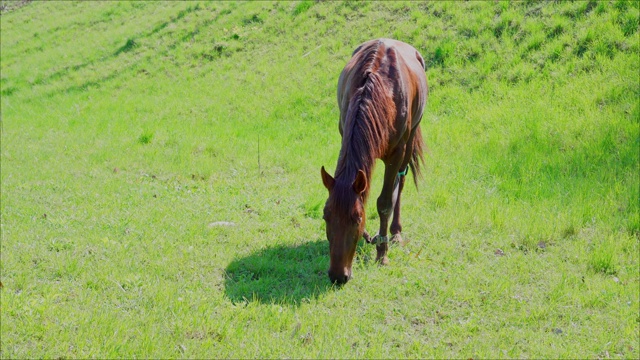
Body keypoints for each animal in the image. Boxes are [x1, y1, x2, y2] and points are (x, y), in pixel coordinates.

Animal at [320, 38, 430, 284]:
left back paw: (395, 232)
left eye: (357, 218)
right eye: (325, 216)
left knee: (401, 181)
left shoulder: (396, 154)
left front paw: (382, 253)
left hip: (409, 142)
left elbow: (385, 203)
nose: (337, 276)